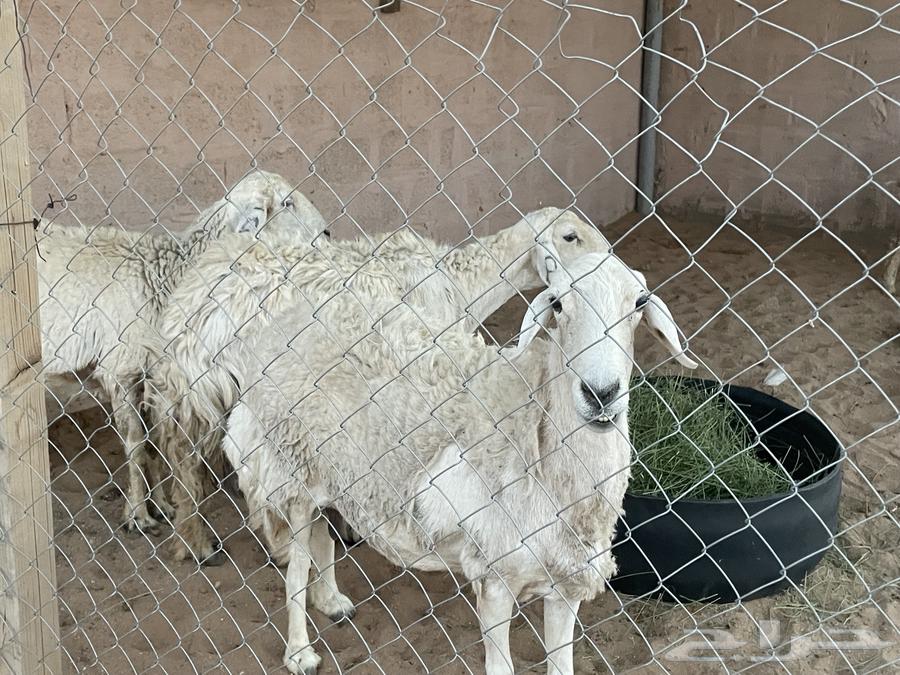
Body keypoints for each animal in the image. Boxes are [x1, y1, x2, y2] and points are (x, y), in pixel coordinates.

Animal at [38, 170, 328, 534]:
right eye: (287, 202)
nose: (327, 232)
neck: (166, 276)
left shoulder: (153, 376)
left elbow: (153, 445)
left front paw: (161, 504)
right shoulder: (120, 370)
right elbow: (135, 445)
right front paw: (139, 514)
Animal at [148, 207, 609, 565]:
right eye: (570, 236)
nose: (608, 263)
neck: (460, 283)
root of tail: (196, 303)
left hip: (193, 385)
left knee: (182, 452)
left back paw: (190, 537)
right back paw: (223, 544)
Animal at [221, 248, 698, 675]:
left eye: (638, 303)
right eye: (558, 304)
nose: (601, 394)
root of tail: (290, 316)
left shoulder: (565, 582)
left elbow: (561, 666)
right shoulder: (495, 577)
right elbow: (500, 667)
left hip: (329, 473)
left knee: (321, 535)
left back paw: (332, 602)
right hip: (290, 467)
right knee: (296, 569)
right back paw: (300, 652)